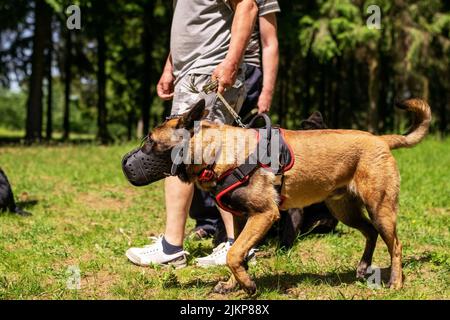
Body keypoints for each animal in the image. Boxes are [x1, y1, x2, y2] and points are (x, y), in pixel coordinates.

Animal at [147, 98, 428, 296]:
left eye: (150, 142)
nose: (130, 160)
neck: (217, 151)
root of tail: (380, 140)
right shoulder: (241, 219)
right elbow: (237, 253)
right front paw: (232, 285)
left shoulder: (264, 215)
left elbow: (233, 254)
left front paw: (248, 286)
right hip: (343, 210)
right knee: (370, 232)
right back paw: (362, 267)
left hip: (380, 209)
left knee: (395, 245)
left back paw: (395, 283)